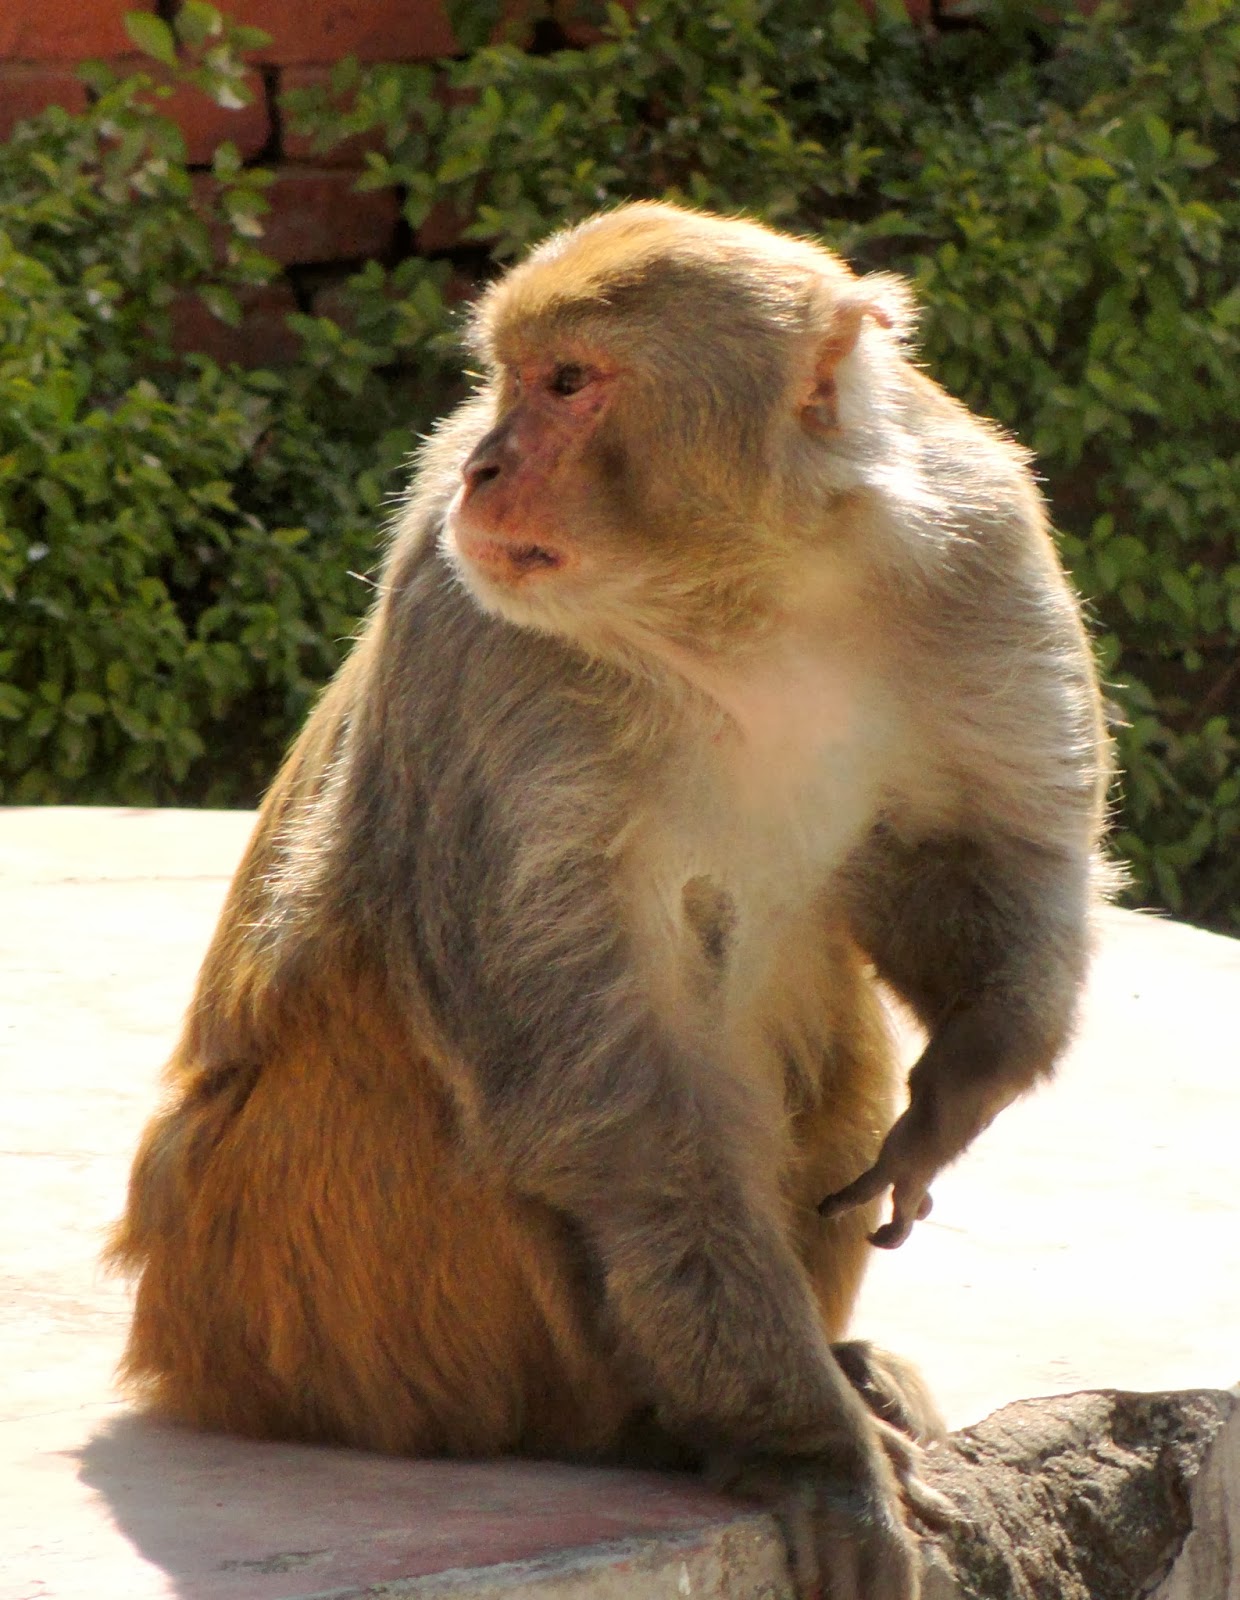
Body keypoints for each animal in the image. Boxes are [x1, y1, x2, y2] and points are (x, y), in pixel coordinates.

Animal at [107, 203, 1109, 1600]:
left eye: (569, 383)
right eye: (506, 379)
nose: (481, 469)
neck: (744, 595)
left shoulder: (980, 539)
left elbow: (974, 846)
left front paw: (968, 1076)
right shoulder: (475, 633)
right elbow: (616, 1105)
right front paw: (806, 1445)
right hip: (261, 1287)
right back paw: (651, 1423)